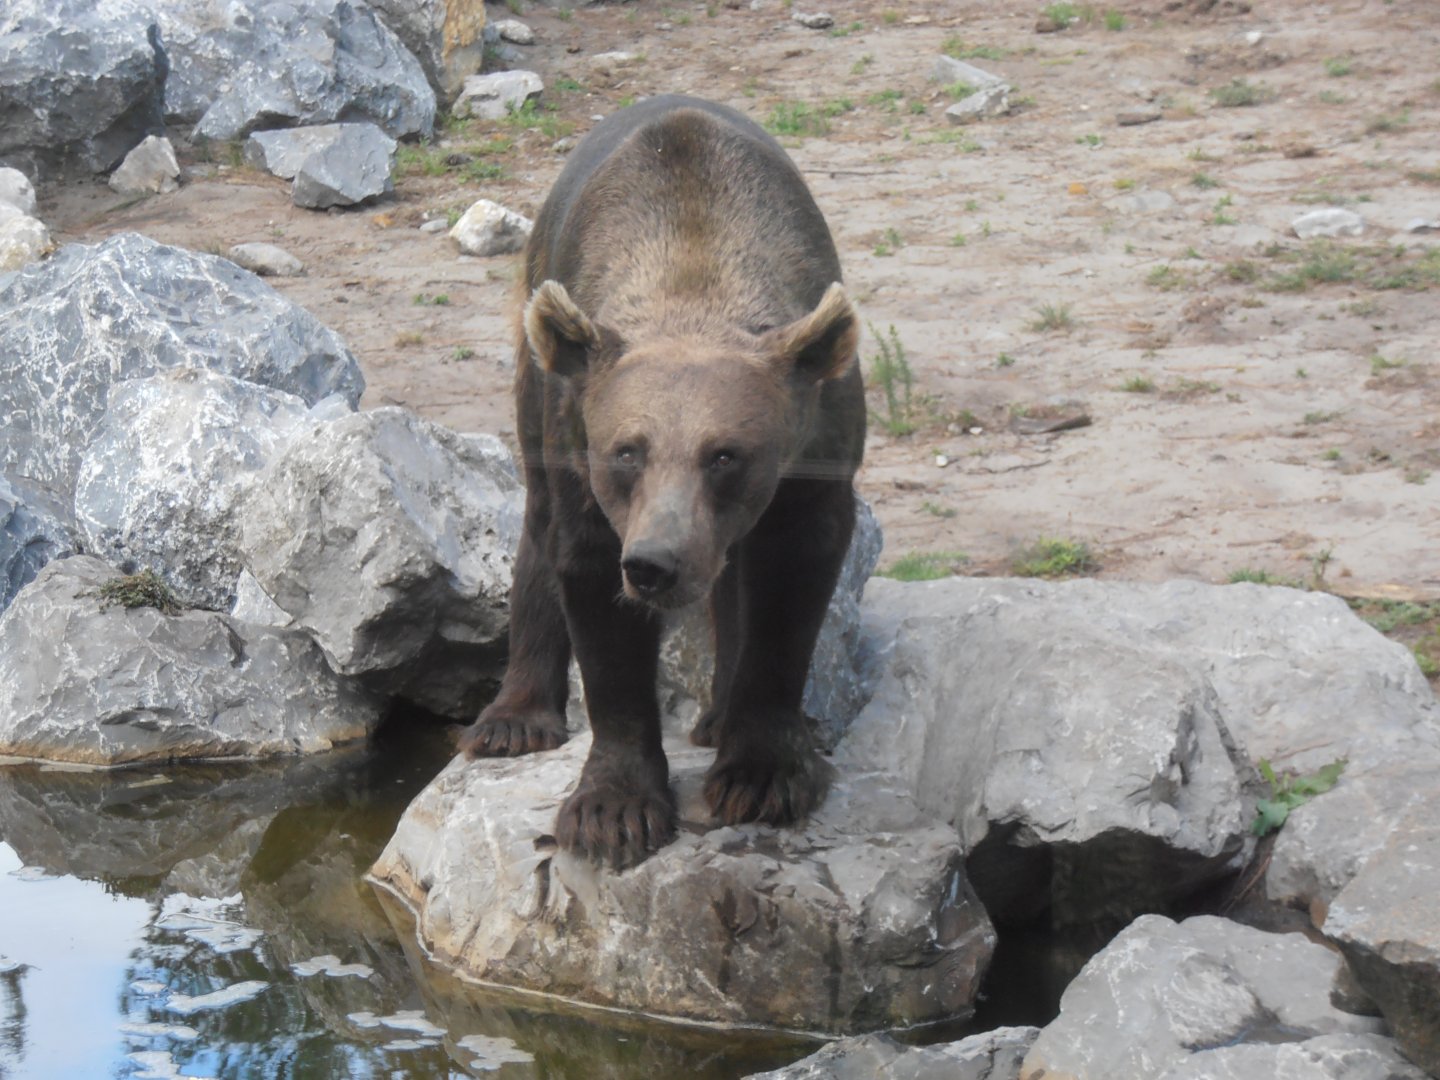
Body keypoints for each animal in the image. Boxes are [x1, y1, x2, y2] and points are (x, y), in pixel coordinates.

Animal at [458, 94, 865, 871]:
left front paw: (761, 772)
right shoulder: (580, 435)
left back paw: (714, 716)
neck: (694, 271)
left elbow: (791, 581)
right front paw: (614, 809)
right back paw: (513, 717)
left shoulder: (816, 445)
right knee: (534, 520)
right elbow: (591, 587)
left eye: (726, 454)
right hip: (536, 359)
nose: (654, 564)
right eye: (627, 452)